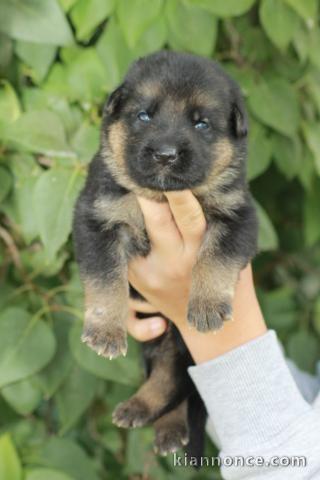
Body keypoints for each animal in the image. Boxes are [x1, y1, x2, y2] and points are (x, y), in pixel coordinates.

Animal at [72, 49, 258, 458]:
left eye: (201, 124)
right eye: (144, 115)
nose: (165, 155)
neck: (162, 198)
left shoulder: (238, 217)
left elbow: (215, 258)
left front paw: (206, 305)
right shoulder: (97, 217)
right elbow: (106, 279)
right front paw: (106, 331)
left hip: (180, 343)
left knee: (179, 385)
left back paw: (164, 424)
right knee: (171, 380)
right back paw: (140, 409)